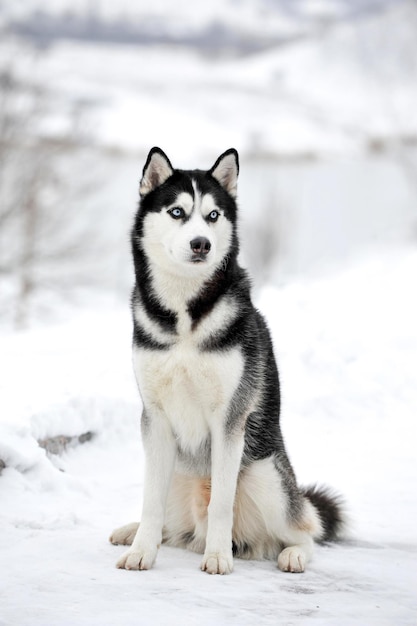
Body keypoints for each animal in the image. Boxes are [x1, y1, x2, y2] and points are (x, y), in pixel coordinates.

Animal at [109, 149, 342, 572]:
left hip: (266, 476)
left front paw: (218, 557)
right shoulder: (155, 417)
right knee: (165, 519)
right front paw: (141, 551)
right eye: (177, 212)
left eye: (213, 215)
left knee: (306, 528)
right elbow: (150, 502)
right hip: (174, 469)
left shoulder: (229, 420)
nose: (201, 244)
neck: (185, 316)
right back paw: (132, 531)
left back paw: (292, 554)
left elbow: (221, 503)